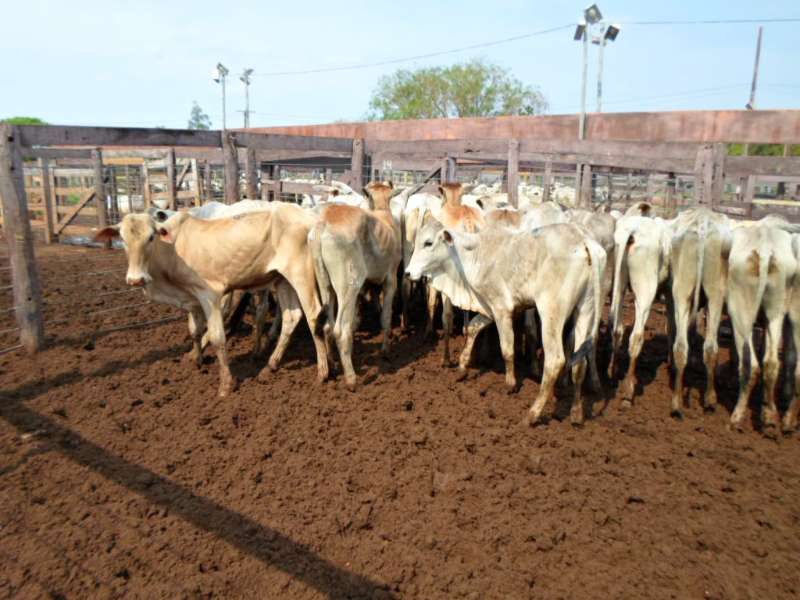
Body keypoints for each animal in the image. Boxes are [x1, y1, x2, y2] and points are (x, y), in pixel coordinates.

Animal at [95, 203, 330, 397]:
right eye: (123, 239)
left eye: (151, 237)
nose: (136, 279)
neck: (173, 248)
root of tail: (311, 217)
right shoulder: (192, 300)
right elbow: (195, 331)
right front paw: (196, 360)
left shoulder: (209, 295)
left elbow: (218, 338)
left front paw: (225, 385)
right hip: (281, 280)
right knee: (292, 317)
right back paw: (270, 366)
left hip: (301, 276)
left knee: (313, 315)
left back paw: (322, 373)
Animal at [406, 221, 605, 426]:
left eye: (428, 243)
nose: (407, 273)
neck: (474, 254)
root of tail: (582, 239)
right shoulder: (489, 306)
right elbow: (473, 328)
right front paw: (462, 367)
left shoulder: (502, 308)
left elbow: (507, 349)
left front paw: (510, 384)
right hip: (586, 308)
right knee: (580, 362)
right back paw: (576, 413)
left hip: (551, 312)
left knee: (555, 361)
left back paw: (532, 414)